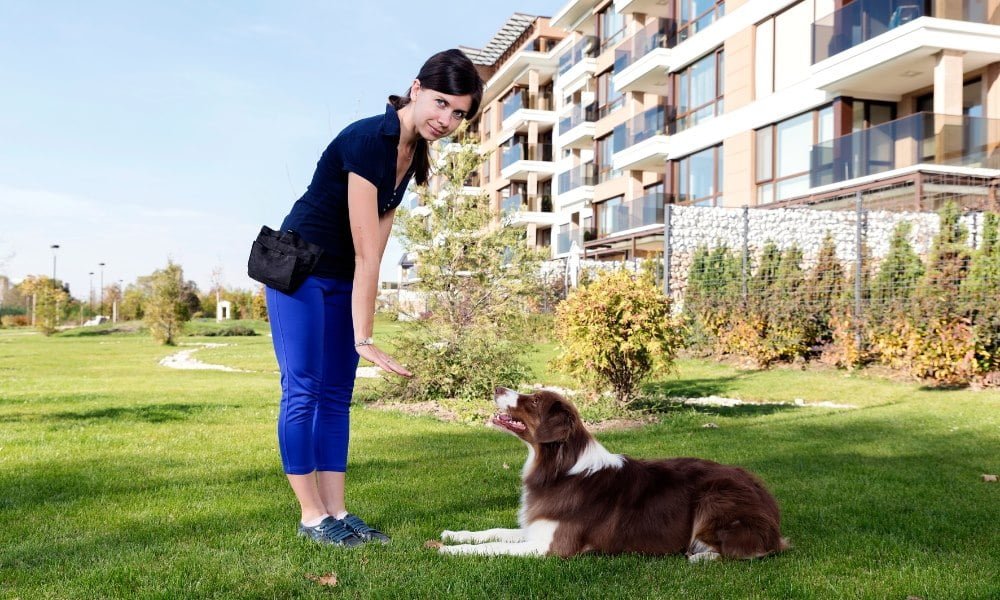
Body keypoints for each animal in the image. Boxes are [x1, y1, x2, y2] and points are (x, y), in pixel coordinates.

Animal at [438, 386, 788, 560]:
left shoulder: (553, 546)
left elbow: (493, 547)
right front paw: (455, 534)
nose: (497, 386)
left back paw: (701, 556)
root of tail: (768, 500)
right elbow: (494, 532)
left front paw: (449, 550)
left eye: (534, 400)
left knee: (748, 550)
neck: (560, 470)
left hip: (715, 497)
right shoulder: (537, 529)